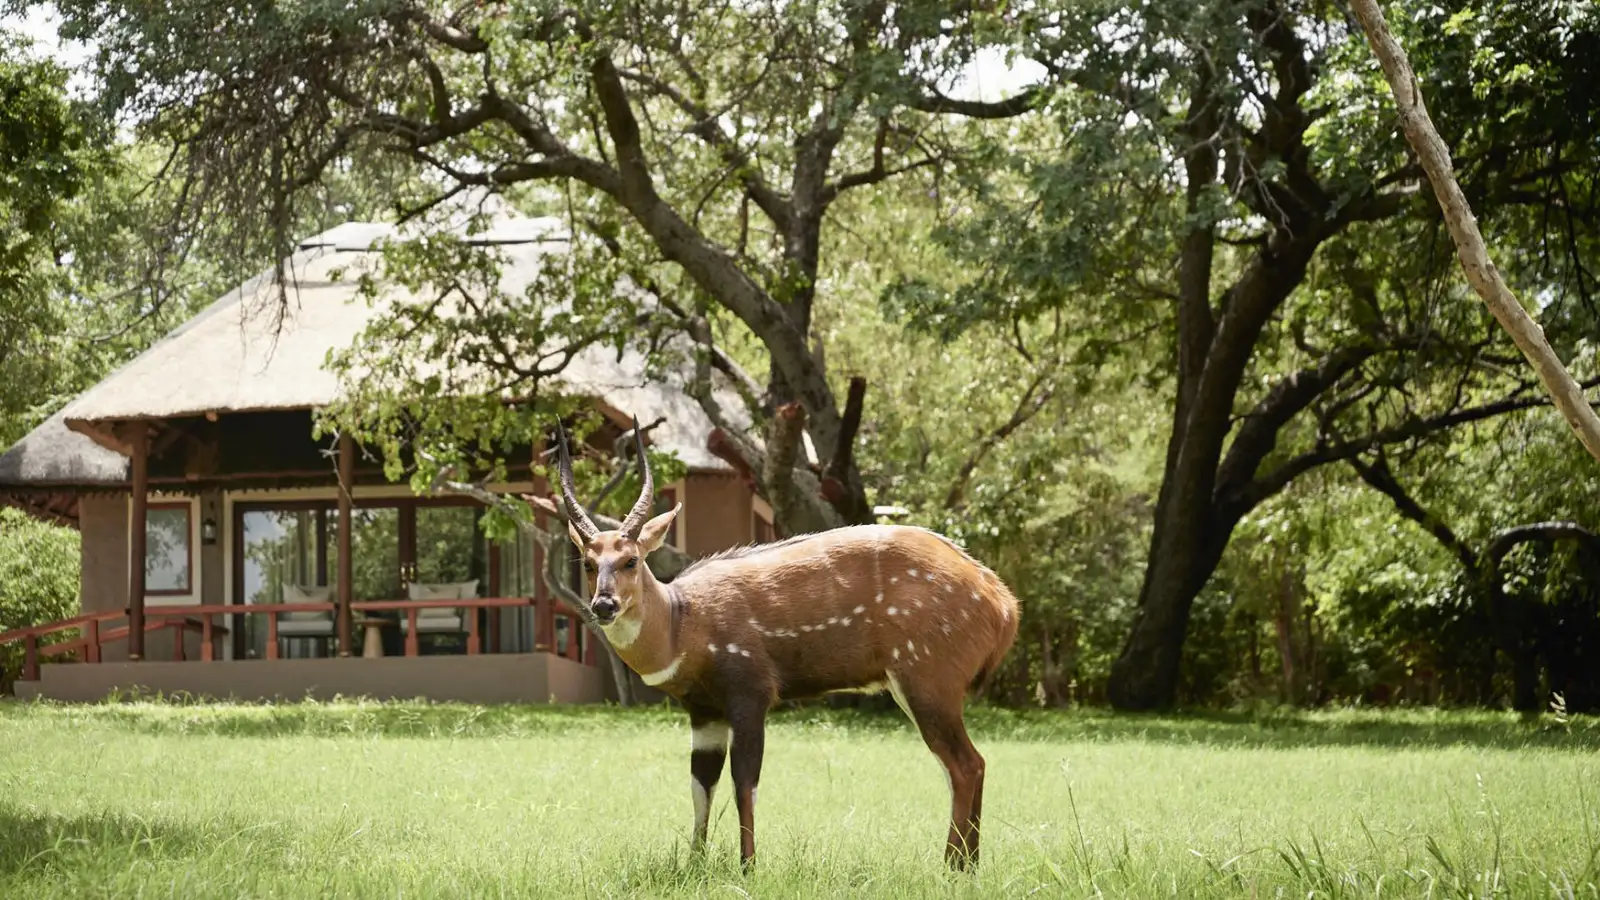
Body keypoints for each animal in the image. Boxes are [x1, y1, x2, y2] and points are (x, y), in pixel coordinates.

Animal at [556, 416, 1017, 864]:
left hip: (928, 680)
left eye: (631, 560)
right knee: (970, 764)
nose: (604, 605)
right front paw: (693, 865)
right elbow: (701, 785)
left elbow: (745, 781)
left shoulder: (750, 693)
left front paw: (747, 867)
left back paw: (951, 867)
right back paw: (967, 864)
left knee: (964, 765)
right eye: (588, 562)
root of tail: (1004, 604)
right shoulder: (703, 711)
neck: (682, 625)